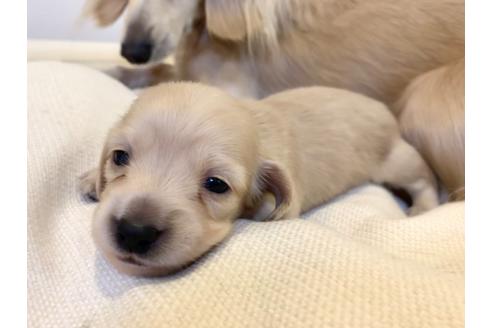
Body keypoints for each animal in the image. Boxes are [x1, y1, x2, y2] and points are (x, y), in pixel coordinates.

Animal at [80, 82, 438, 276]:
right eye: (119, 157)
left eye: (216, 185)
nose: (134, 231)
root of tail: (382, 107)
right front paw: (90, 178)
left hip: (399, 159)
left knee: (424, 179)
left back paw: (423, 208)